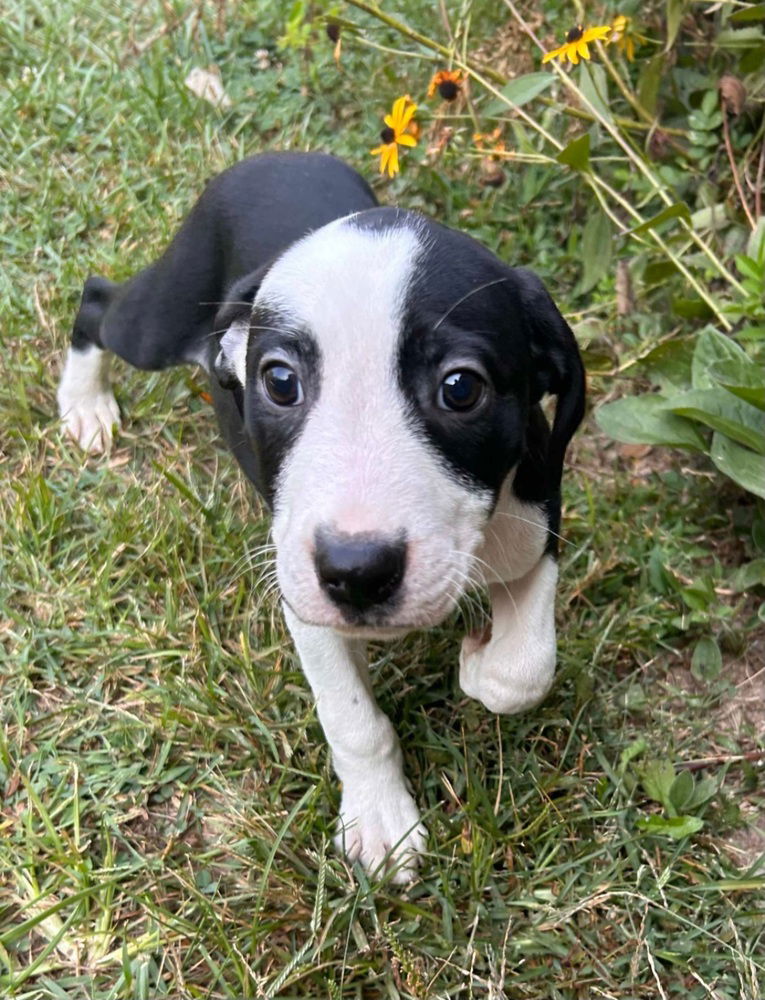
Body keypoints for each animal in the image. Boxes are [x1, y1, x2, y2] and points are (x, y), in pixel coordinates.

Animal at [58, 150, 584, 884]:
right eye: (280, 381)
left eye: (460, 388)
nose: (357, 573)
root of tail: (272, 156)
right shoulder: (301, 594)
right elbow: (353, 720)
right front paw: (379, 820)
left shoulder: (535, 520)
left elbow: (526, 668)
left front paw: (480, 662)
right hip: (162, 319)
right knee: (98, 300)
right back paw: (84, 402)